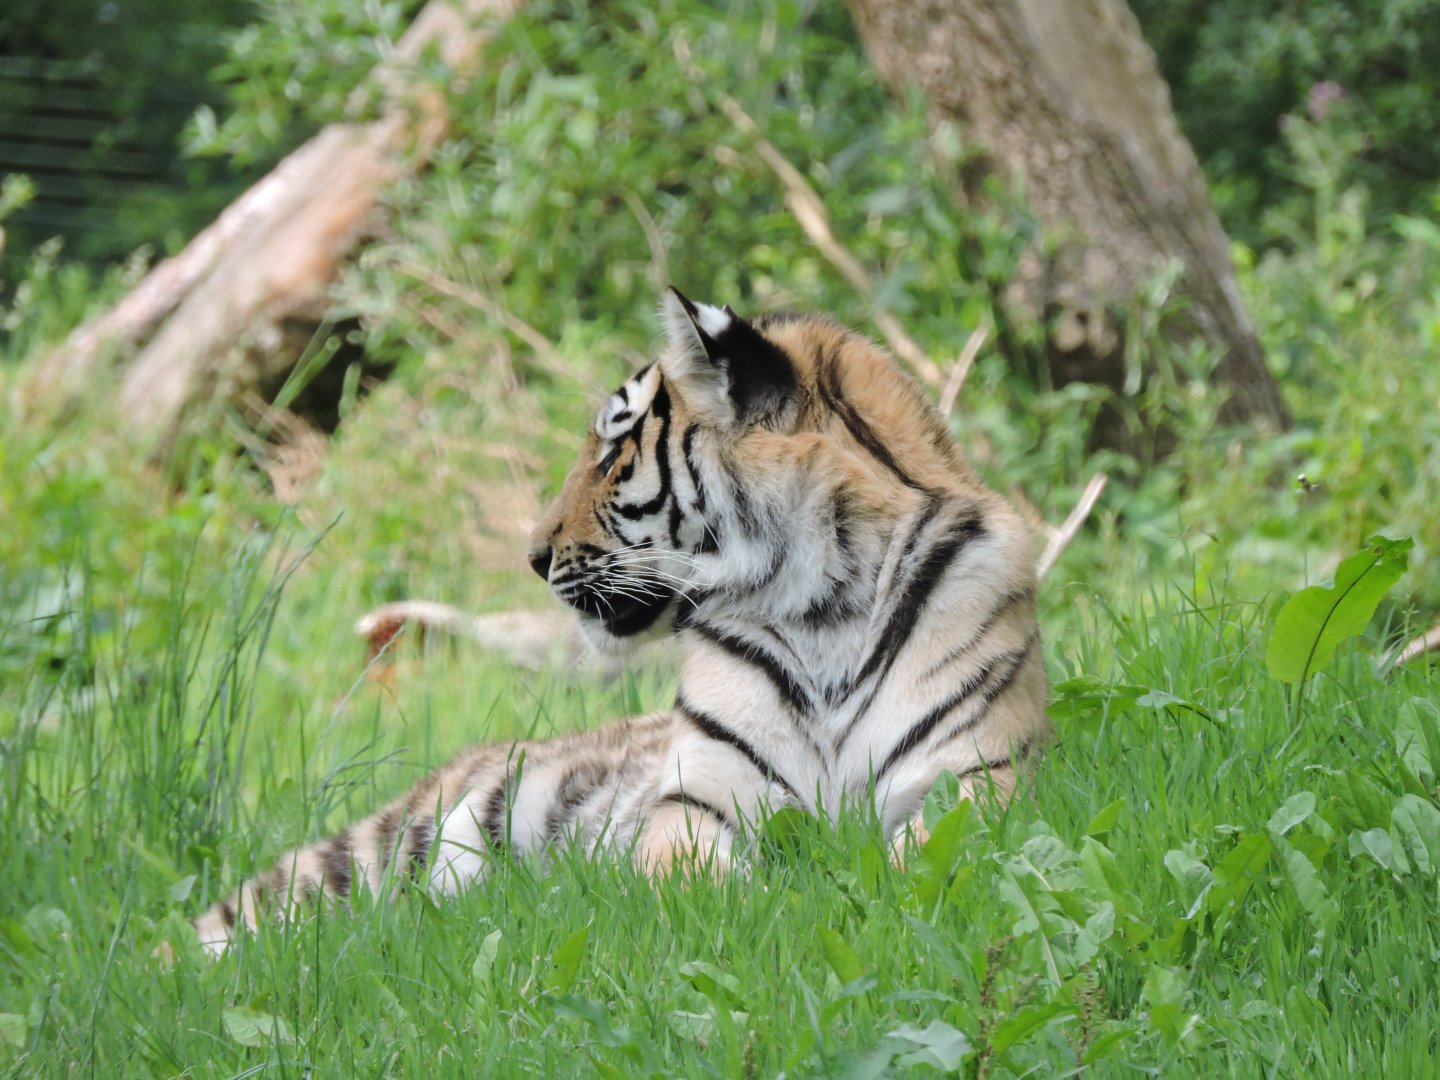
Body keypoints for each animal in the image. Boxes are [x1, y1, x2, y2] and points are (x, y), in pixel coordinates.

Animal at [191, 288, 1050, 955]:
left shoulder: (983, 776)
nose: (532, 556)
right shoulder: (699, 799)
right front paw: (751, 904)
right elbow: (688, 871)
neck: (821, 607)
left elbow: (923, 858)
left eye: (611, 455)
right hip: (373, 852)